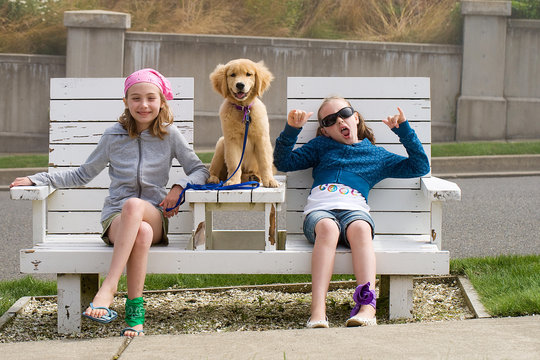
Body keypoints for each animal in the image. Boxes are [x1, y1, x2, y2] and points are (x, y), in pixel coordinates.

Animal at [207, 57, 278, 187]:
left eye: (248, 74)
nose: (240, 85)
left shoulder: (262, 139)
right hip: (221, 144)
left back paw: (254, 177)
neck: (243, 109)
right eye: (232, 75)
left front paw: (270, 180)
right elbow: (234, 164)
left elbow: (265, 162)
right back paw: (213, 179)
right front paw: (233, 181)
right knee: (213, 170)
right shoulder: (232, 140)